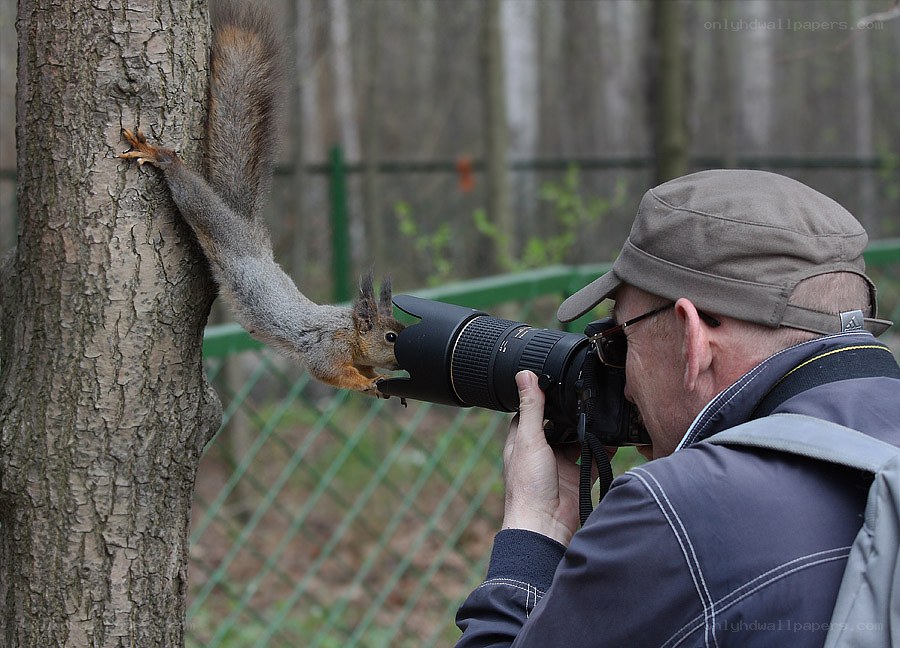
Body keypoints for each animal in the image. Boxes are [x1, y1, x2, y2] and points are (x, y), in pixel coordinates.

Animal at [119, 1, 404, 397]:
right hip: (215, 224)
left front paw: (378, 378)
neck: (348, 329)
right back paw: (160, 157)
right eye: (391, 336)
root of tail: (246, 227)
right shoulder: (326, 348)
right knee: (191, 194)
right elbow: (327, 372)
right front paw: (370, 382)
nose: (407, 358)